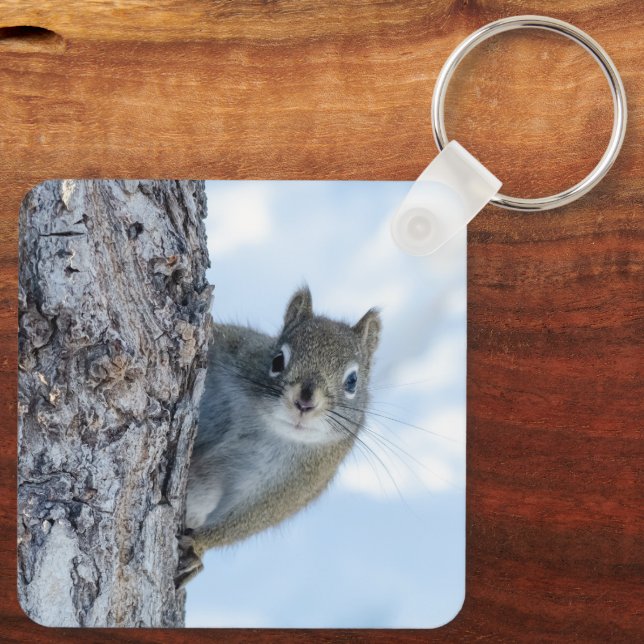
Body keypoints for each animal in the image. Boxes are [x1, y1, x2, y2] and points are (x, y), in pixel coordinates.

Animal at [175, 286, 381, 587]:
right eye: (277, 360)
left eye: (352, 381)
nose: (305, 402)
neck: (267, 425)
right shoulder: (235, 348)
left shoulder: (298, 481)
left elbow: (253, 517)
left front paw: (199, 546)